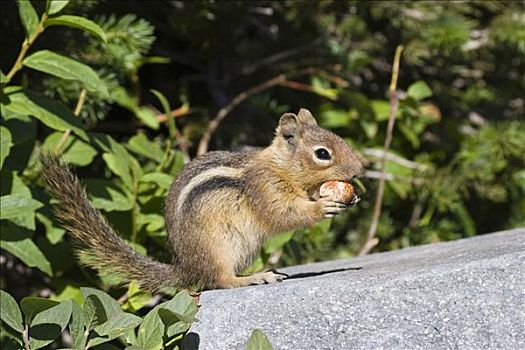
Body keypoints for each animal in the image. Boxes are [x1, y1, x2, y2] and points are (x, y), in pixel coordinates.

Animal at [41, 109, 362, 292]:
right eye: (322, 153)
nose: (360, 168)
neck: (279, 166)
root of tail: (186, 268)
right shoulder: (264, 189)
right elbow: (283, 215)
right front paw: (323, 206)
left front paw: (348, 196)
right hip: (220, 247)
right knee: (219, 281)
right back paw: (254, 278)